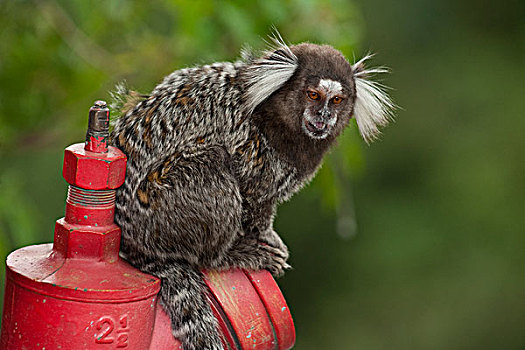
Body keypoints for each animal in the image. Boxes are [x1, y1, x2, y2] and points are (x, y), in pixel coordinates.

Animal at [112, 33, 396, 350]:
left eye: (337, 100)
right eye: (313, 95)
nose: (323, 116)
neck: (274, 116)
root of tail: (130, 242)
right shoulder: (250, 146)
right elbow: (252, 197)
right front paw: (262, 238)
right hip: (158, 206)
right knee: (212, 163)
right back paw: (229, 255)